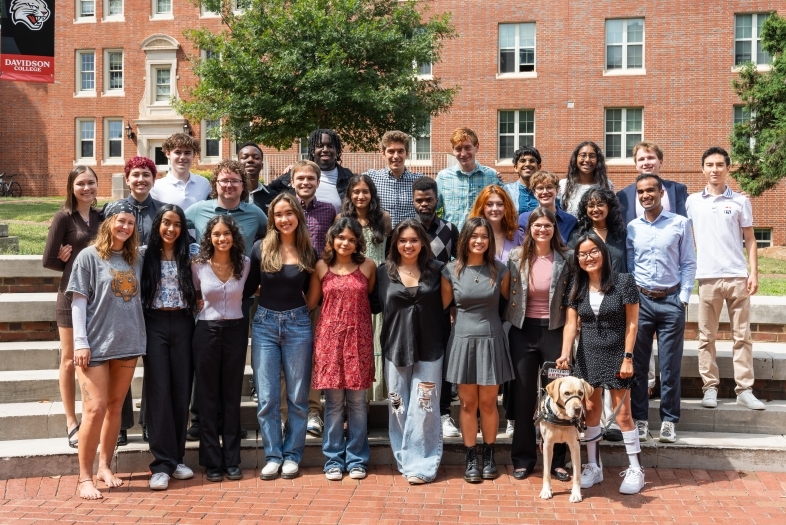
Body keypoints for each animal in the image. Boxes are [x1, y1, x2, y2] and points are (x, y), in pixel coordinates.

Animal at [540, 374, 596, 502]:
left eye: (580, 393)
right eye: (566, 393)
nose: (578, 409)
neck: (562, 418)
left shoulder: (574, 444)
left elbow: (576, 475)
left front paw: (576, 494)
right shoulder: (547, 445)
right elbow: (546, 472)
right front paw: (546, 491)